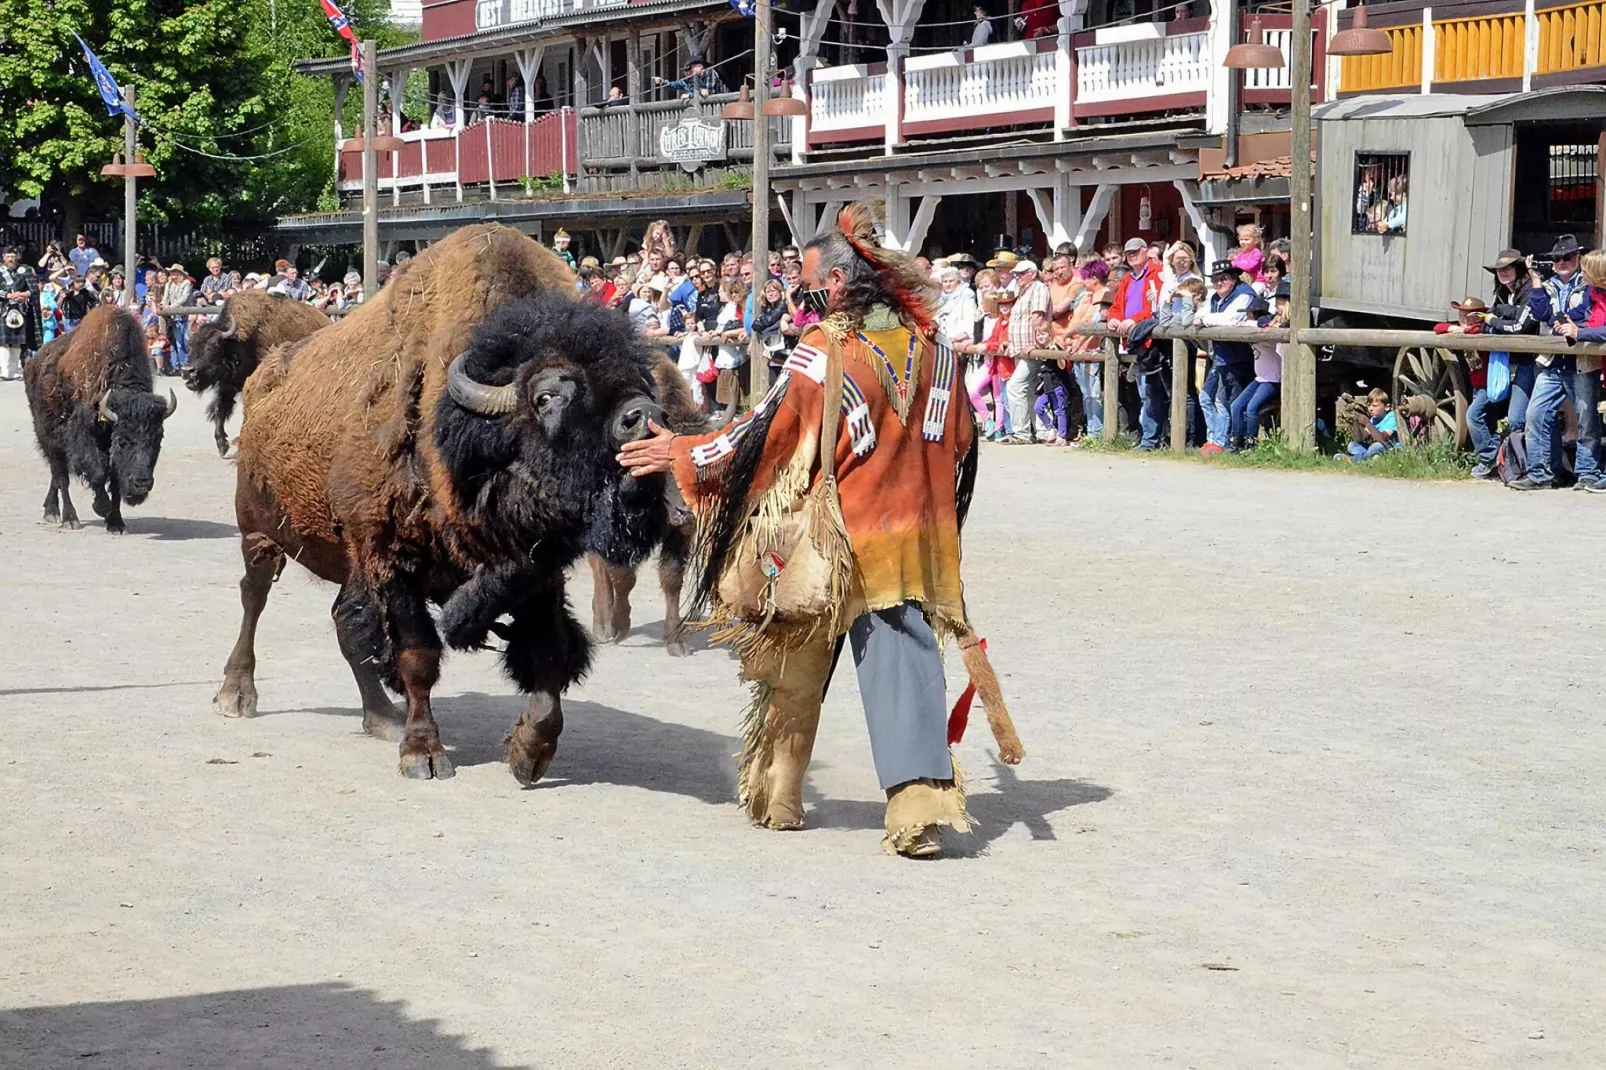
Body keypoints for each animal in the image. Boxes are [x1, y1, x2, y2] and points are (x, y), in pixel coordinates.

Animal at [25, 302, 179, 530]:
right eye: (123, 441)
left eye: (158, 440)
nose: (142, 484)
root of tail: (34, 362)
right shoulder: (85, 437)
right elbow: (97, 471)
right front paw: (102, 508)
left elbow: (114, 479)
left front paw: (116, 523)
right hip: (47, 436)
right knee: (60, 475)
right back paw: (67, 518)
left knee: (57, 475)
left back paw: (51, 511)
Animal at [182, 289, 329, 456]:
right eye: (190, 345)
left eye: (214, 346)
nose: (187, 371)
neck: (241, 342)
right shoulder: (229, 385)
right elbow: (220, 409)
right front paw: (222, 445)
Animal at [211, 220, 664, 780]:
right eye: (546, 396)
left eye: (639, 380)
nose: (645, 417)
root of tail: (263, 380)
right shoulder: (394, 563)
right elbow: (418, 657)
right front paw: (423, 754)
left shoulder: (536, 573)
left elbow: (549, 653)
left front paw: (529, 752)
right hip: (259, 533)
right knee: (254, 597)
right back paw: (237, 694)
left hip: (348, 560)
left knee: (345, 621)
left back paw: (382, 718)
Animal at [587, 353, 735, 655]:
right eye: (660, 461)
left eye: (701, 461)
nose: (688, 513)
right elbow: (623, 576)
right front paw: (619, 625)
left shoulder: (678, 535)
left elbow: (671, 579)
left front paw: (676, 641)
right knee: (598, 565)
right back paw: (602, 626)